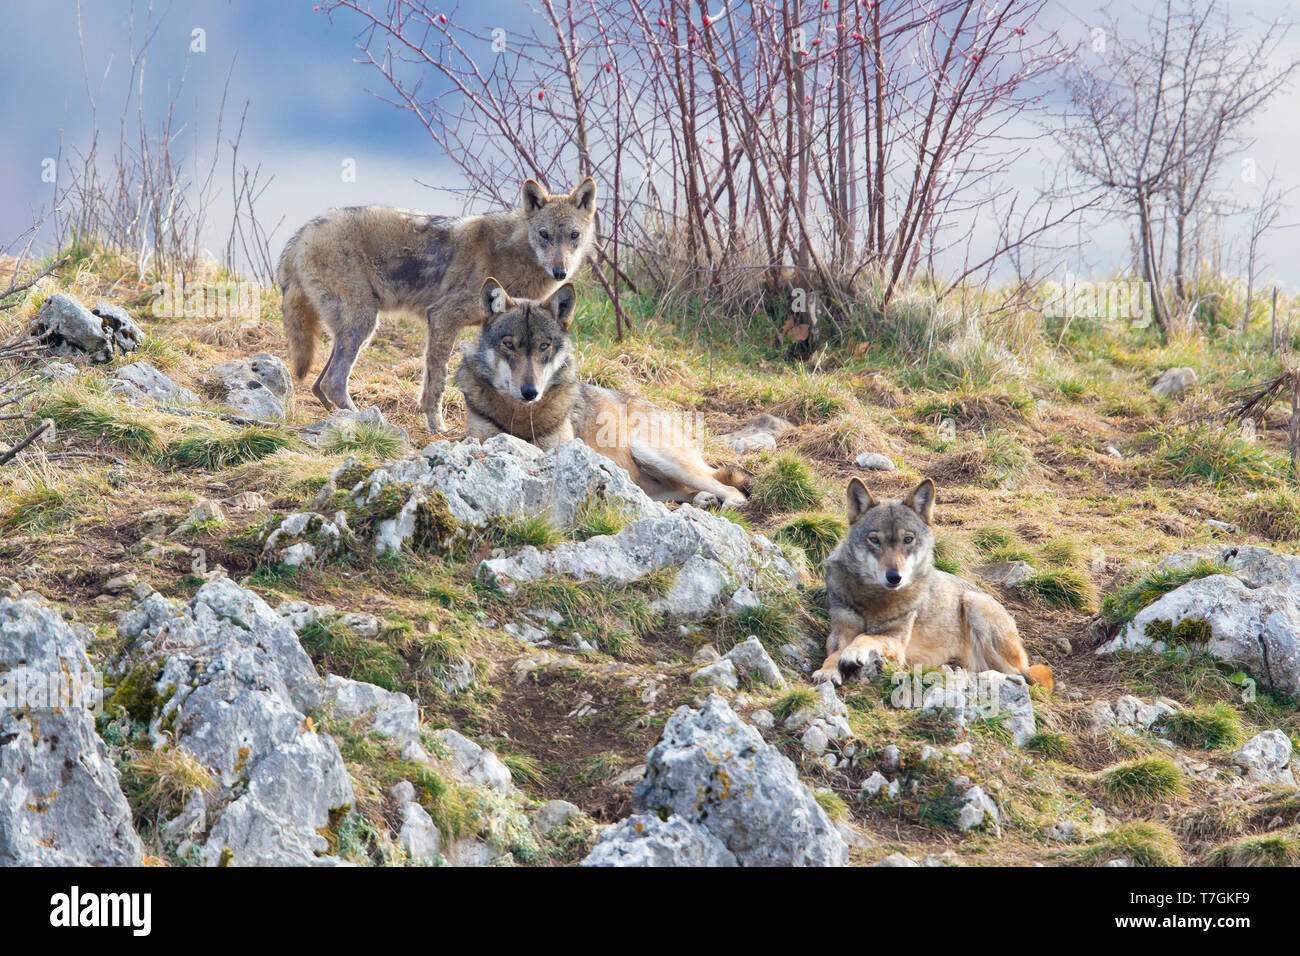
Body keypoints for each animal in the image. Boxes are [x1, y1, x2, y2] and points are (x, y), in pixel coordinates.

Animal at [279, 178, 598, 429]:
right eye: (544, 235)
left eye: (574, 236)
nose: (560, 272)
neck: (512, 255)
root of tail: (301, 235)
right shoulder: (443, 317)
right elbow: (437, 381)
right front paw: (437, 426)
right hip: (363, 325)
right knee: (333, 382)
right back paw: (367, 421)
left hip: (354, 331)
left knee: (319, 384)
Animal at [454, 278, 754, 509]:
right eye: (509, 345)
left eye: (544, 346)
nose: (530, 392)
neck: (519, 416)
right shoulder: (481, 438)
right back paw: (703, 499)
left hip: (652, 451)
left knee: (732, 489)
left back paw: (724, 503)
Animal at [811, 476, 1055, 686]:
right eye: (874, 540)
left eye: (908, 539)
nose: (894, 577)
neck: (875, 599)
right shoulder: (840, 630)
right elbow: (835, 652)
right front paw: (828, 670)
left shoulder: (897, 642)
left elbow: (865, 637)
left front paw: (852, 652)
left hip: (974, 604)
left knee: (1021, 675)